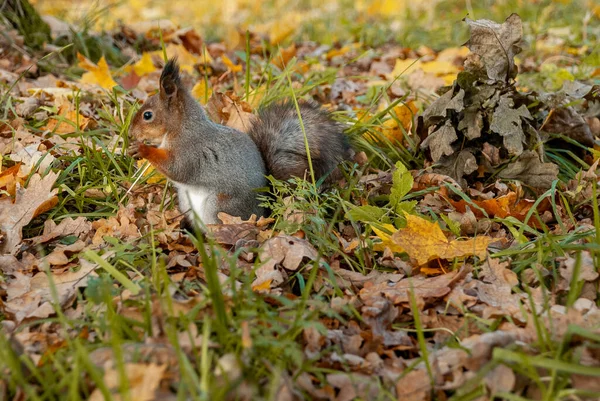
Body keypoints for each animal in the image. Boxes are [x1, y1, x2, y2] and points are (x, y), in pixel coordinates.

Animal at [126, 59, 352, 227]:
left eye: (147, 115)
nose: (129, 132)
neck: (182, 127)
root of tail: (263, 212)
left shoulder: (191, 150)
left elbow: (176, 169)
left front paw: (143, 149)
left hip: (220, 206)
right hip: (187, 203)